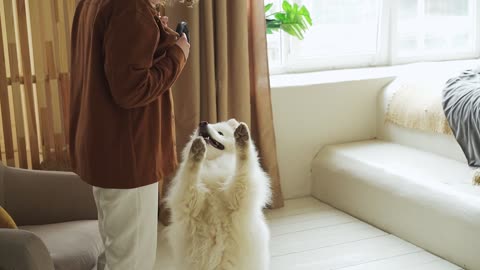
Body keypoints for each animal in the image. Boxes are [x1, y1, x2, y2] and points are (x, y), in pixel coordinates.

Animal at [164, 119, 270, 268]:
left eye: (220, 132)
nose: (202, 123)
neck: (213, 163)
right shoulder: (189, 202)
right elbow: (190, 175)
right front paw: (196, 151)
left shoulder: (237, 195)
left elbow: (243, 164)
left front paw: (242, 139)